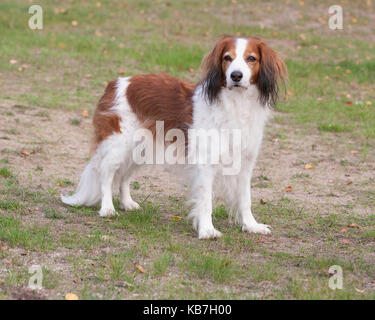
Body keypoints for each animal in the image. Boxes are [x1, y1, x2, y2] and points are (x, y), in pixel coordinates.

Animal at [62, 36, 288, 239]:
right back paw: (107, 208)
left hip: (140, 149)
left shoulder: (245, 163)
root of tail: (115, 83)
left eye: (251, 58)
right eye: (227, 58)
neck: (235, 104)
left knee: (124, 176)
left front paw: (251, 226)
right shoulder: (205, 163)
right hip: (119, 145)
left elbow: (245, 199)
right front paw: (207, 230)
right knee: (107, 174)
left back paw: (127, 203)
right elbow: (206, 200)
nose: (236, 75)